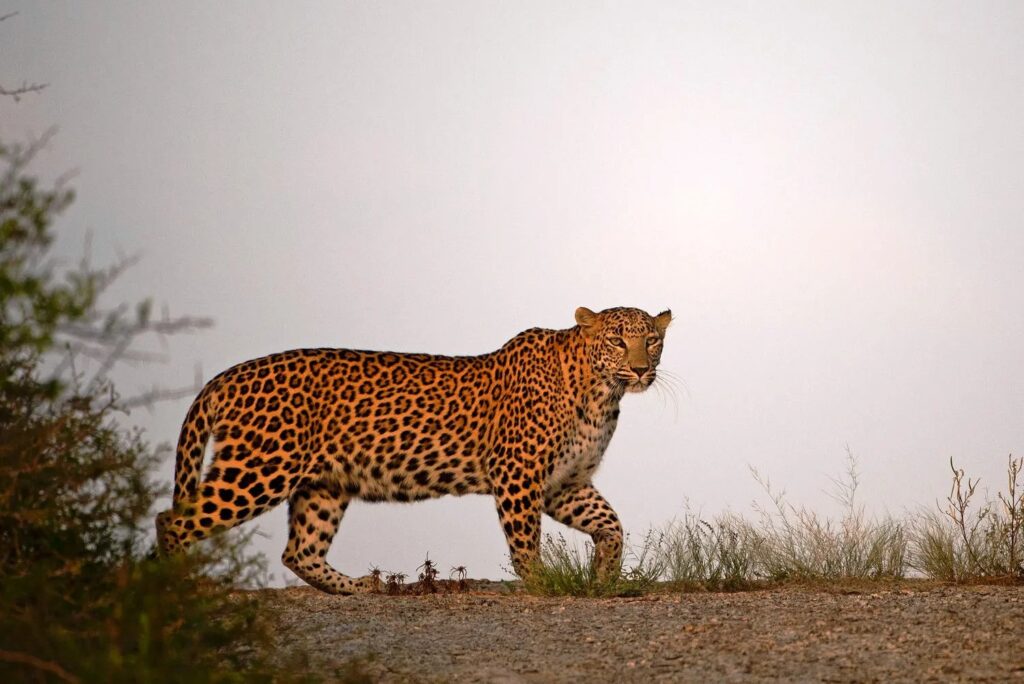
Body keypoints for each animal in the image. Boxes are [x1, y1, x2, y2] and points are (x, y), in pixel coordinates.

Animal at [156, 305, 672, 594]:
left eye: (652, 340)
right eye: (617, 340)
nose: (641, 369)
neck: (602, 393)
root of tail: (227, 376)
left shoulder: (565, 483)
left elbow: (611, 525)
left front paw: (604, 576)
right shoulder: (518, 475)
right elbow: (525, 542)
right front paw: (545, 584)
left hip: (323, 485)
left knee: (298, 550)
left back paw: (358, 588)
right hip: (260, 468)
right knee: (172, 519)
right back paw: (181, 588)